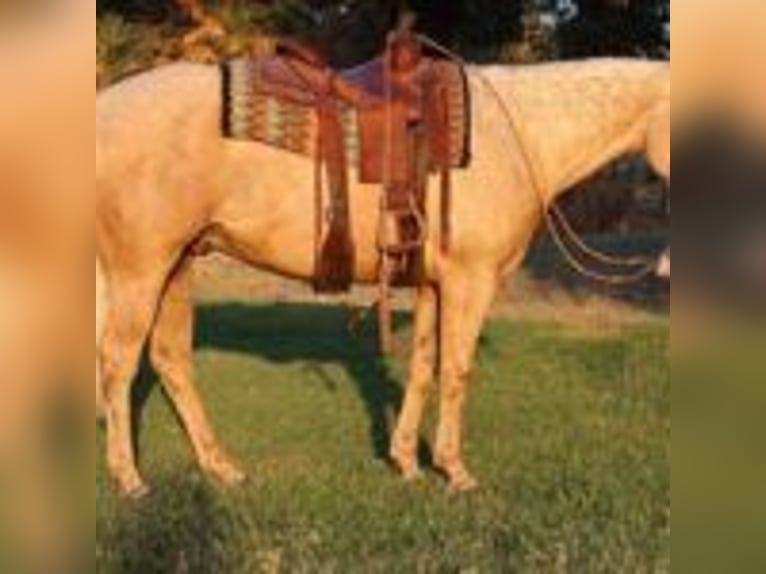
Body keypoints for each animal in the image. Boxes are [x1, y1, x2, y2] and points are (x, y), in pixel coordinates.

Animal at [97, 57, 669, 497]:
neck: (514, 135)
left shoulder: (433, 285)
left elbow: (421, 368)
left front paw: (407, 461)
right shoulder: (471, 281)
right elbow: (456, 371)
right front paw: (455, 471)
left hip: (178, 264)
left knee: (171, 361)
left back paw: (221, 467)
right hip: (140, 269)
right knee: (119, 365)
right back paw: (128, 479)